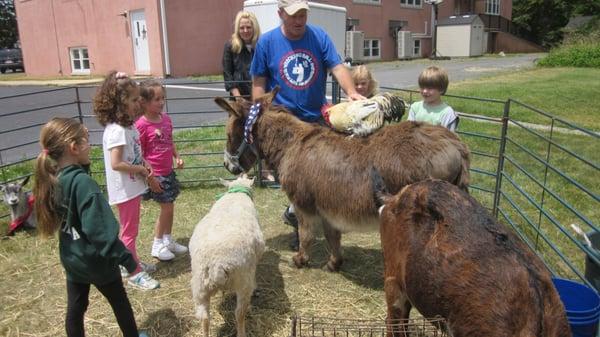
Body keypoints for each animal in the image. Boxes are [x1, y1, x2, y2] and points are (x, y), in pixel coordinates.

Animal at [190, 175, 264, 336]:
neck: (237, 194)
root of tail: (217, 264)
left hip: (199, 286)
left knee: (204, 317)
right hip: (243, 282)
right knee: (239, 314)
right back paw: (242, 332)